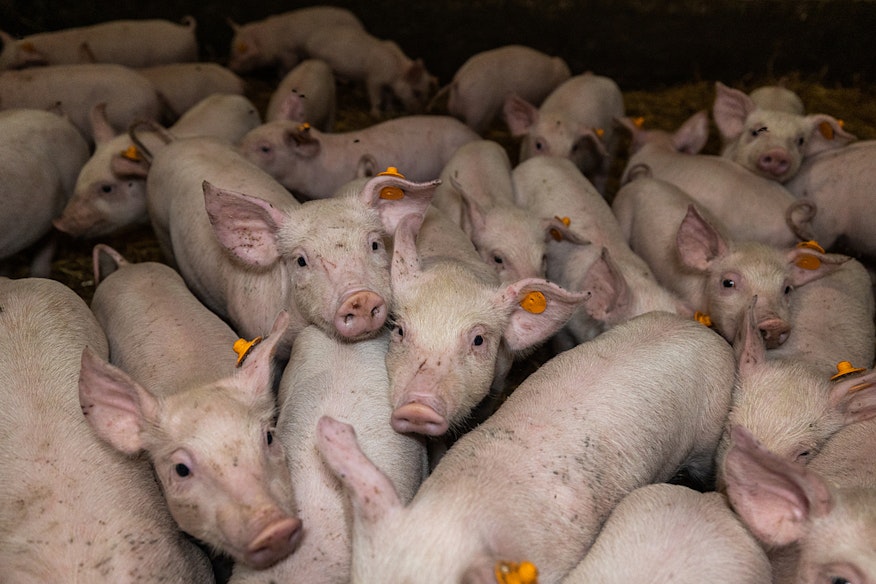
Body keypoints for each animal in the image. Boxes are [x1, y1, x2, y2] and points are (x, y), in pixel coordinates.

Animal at [227, 6, 364, 74]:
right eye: (232, 48)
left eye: (243, 49)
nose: (231, 67)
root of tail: (360, 25)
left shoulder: (289, 53)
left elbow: (287, 67)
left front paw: (281, 78)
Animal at [302, 24, 437, 117]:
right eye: (417, 92)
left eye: (428, 93)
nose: (420, 112)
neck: (395, 71)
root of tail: (309, 40)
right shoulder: (373, 79)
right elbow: (376, 97)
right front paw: (376, 114)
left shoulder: (389, 86)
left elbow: (389, 98)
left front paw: (390, 112)